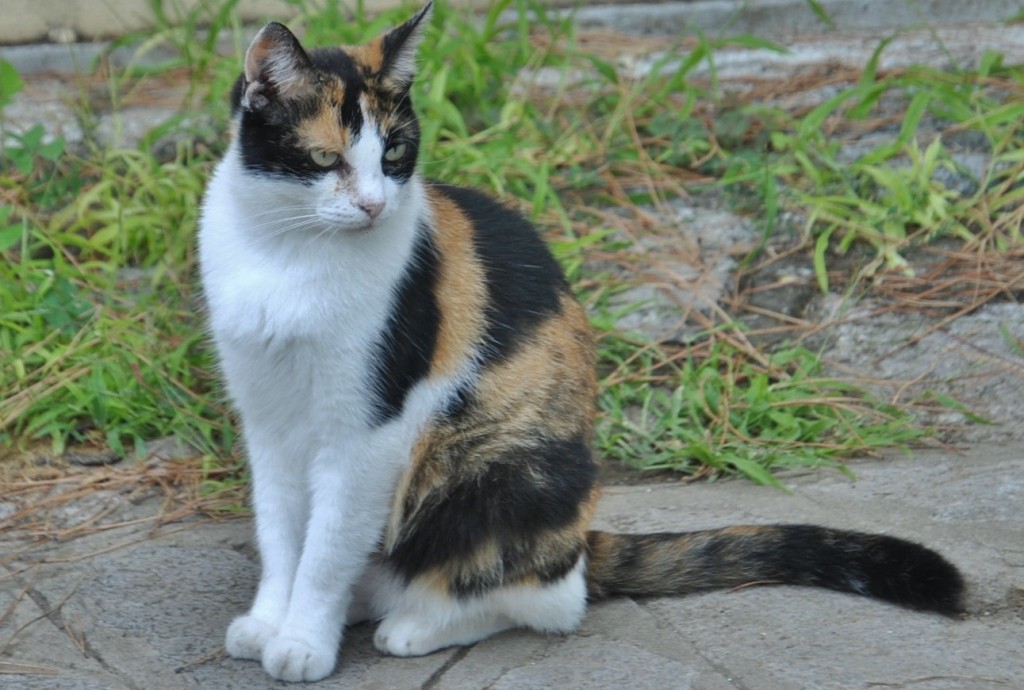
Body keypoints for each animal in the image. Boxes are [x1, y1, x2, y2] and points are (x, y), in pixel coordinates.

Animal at [195, 2, 962, 679]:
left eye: (396, 153)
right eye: (326, 159)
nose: (375, 205)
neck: (287, 255)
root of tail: (581, 537)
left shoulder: (365, 433)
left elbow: (325, 551)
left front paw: (303, 642)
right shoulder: (266, 419)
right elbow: (281, 534)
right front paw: (269, 622)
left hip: (491, 470)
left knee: (547, 598)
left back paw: (414, 625)